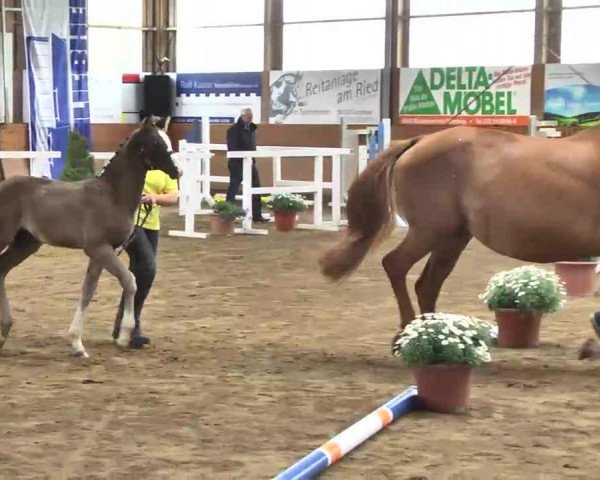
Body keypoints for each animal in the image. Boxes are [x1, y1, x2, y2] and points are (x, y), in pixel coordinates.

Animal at [324, 124, 600, 340]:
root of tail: (419, 142)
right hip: (430, 232)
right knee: (395, 264)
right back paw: (407, 333)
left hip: (452, 238)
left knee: (427, 284)